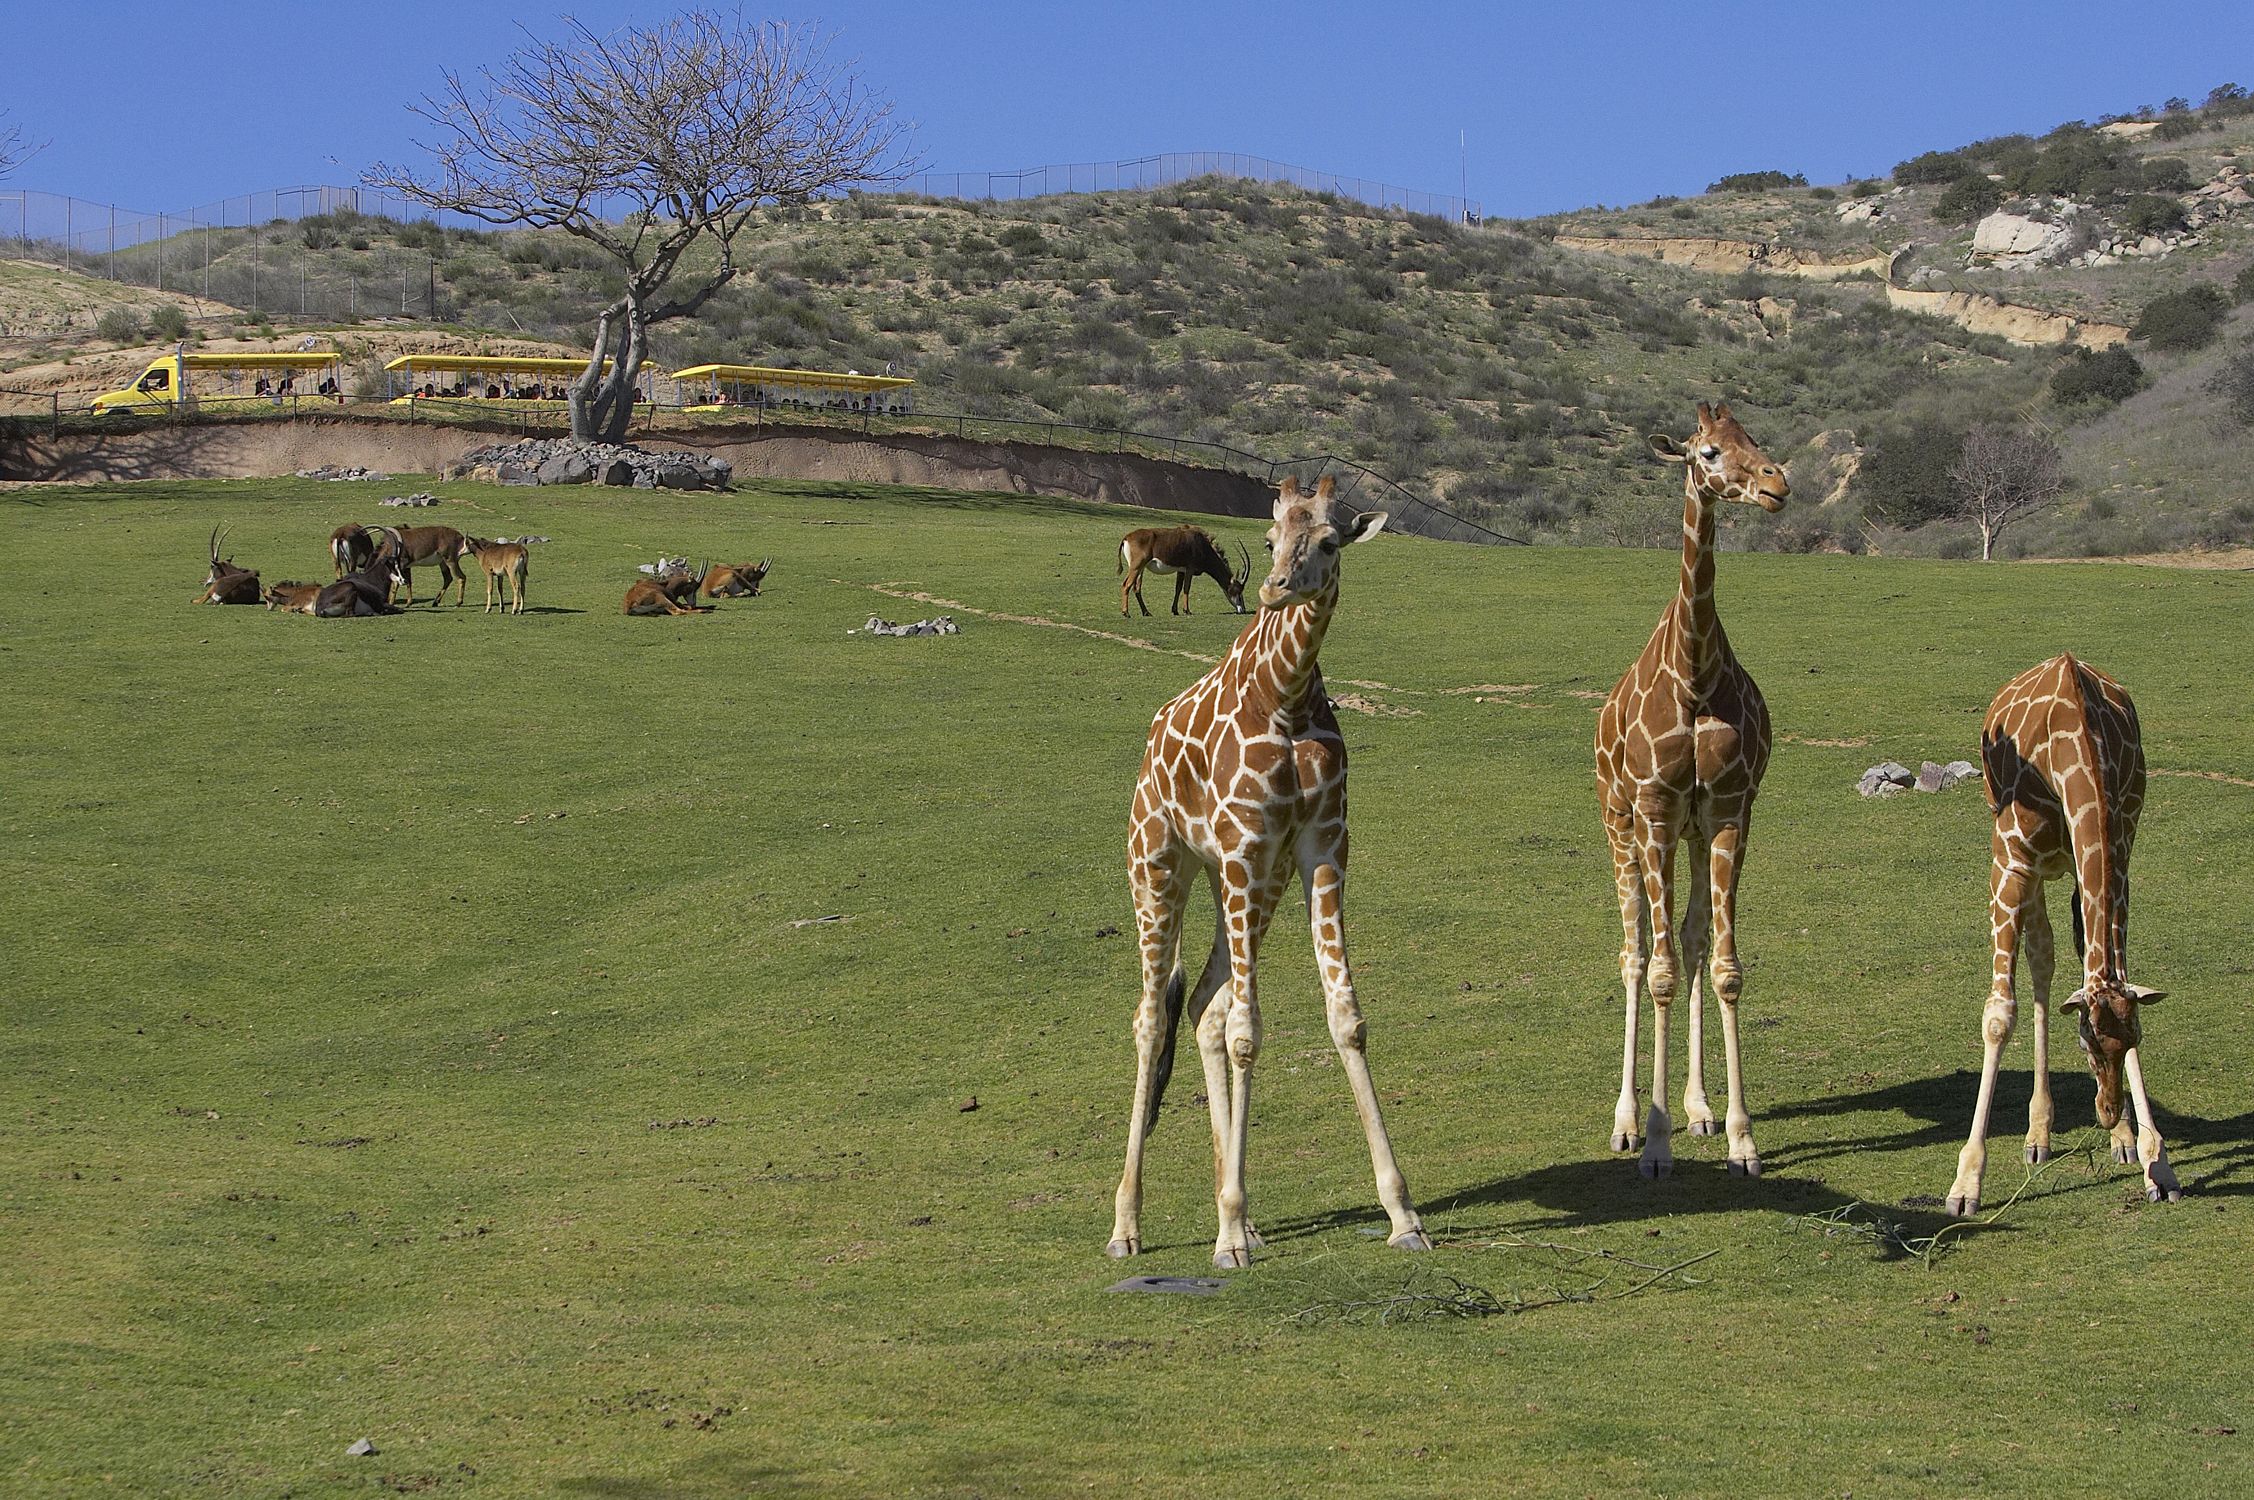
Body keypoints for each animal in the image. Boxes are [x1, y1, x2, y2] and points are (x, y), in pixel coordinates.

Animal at [1122, 523, 1262, 618]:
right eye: (1238, 591)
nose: (1242, 610)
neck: (1202, 545)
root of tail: (1127, 537)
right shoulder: (1190, 568)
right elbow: (1186, 588)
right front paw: (1187, 610)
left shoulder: (1181, 570)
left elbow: (1178, 588)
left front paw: (1175, 610)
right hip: (1136, 567)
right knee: (1126, 585)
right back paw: (1126, 613)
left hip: (1141, 569)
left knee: (1136, 588)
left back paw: (1146, 612)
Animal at [1947, 654, 2172, 1218]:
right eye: (2086, 1042)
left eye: (2135, 1039)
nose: (2106, 1109)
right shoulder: (2009, 861)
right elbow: (1999, 1016)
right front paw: (1965, 1185)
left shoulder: (2119, 854)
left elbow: (2114, 971)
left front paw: (2154, 1159)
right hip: (2028, 867)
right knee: (2041, 959)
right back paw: (2037, 1135)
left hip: (2067, 866)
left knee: (2058, 952)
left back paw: (2112, 1138)